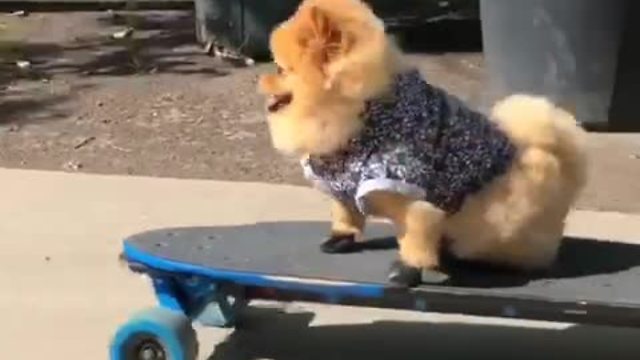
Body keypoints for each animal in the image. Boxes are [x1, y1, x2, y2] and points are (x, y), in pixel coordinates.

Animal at [258, 0, 588, 286]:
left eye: (281, 70)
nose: (262, 79)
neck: (362, 110)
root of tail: (551, 153)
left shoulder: (404, 191)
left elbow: (415, 233)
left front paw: (409, 269)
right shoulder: (345, 181)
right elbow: (346, 212)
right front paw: (341, 238)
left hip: (496, 216)